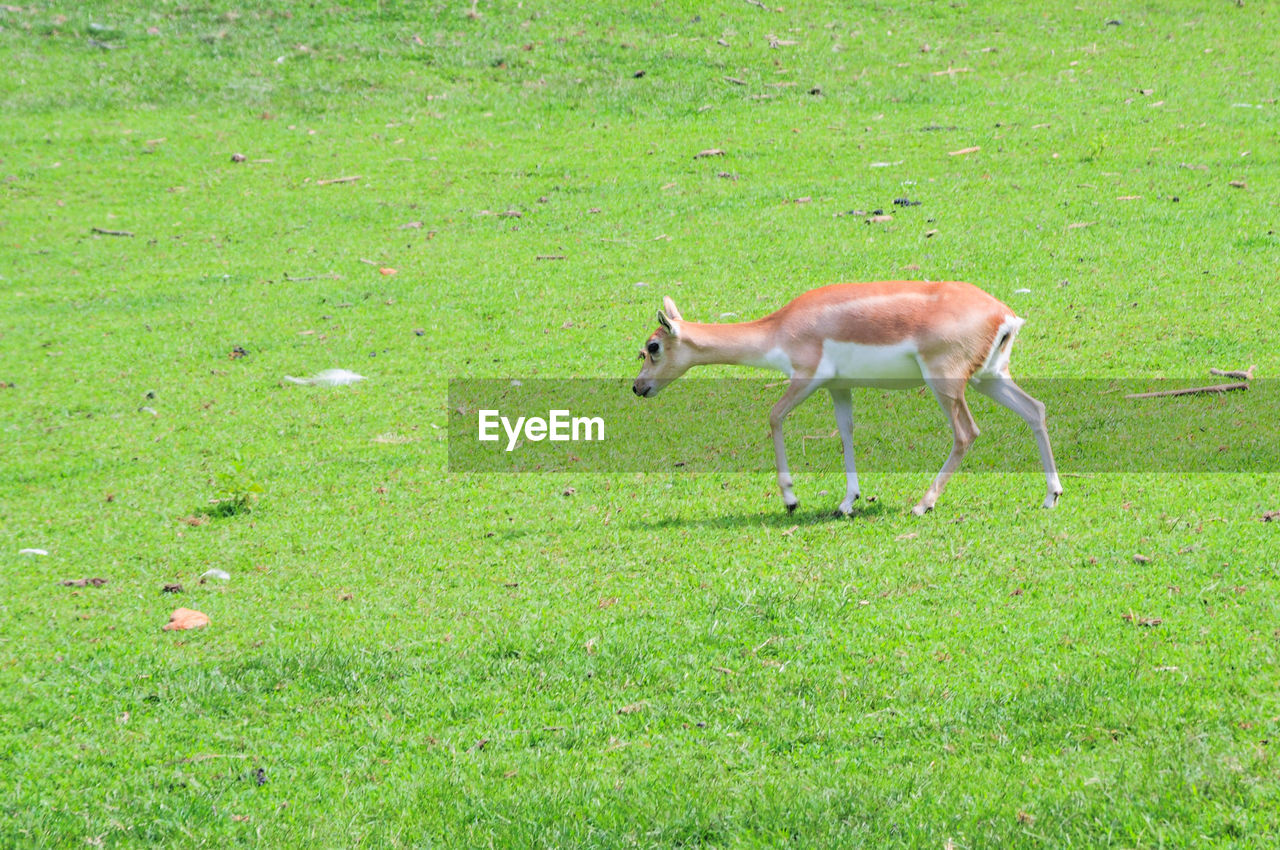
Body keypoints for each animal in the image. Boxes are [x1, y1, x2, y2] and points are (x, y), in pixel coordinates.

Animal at [629, 281, 1059, 514]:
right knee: (1035, 409)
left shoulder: (806, 378)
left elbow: (774, 416)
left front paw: (790, 499)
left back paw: (923, 503)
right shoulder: (839, 386)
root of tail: (1004, 315)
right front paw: (848, 501)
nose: (637, 387)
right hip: (990, 378)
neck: (780, 328)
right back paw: (1051, 496)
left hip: (947, 384)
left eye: (652, 347)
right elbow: (846, 431)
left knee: (966, 434)